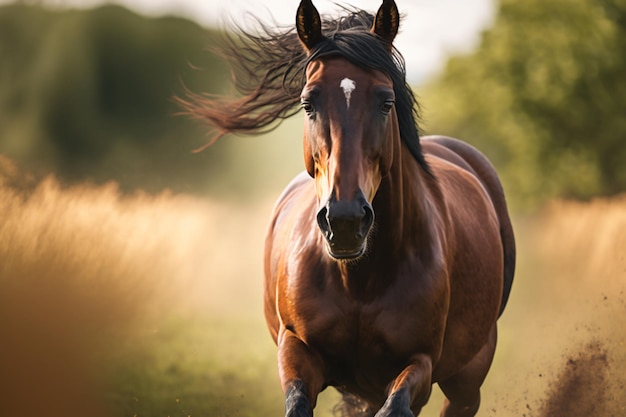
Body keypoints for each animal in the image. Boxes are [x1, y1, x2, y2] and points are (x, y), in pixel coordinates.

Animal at [179, 1, 512, 414]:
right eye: (308, 102)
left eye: (386, 101)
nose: (346, 221)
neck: (359, 281)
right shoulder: (296, 349)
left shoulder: (419, 363)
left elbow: (396, 405)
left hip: (467, 379)